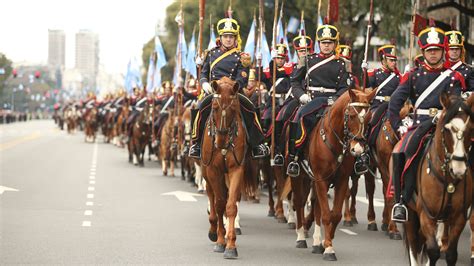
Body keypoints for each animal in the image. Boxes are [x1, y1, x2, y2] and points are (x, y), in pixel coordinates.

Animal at [201, 77, 256, 260]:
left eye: (233, 108)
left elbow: (230, 205)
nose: (221, 140)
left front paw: (231, 245)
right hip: (206, 171)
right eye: (215, 107)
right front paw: (219, 240)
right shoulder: (213, 170)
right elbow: (219, 204)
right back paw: (213, 230)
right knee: (211, 195)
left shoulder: (236, 170)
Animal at [402, 92, 472, 266]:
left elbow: (451, 254)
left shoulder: (458, 217)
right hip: (410, 214)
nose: (459, 169)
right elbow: (432, 251)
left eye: (470, 130)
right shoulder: (426, 215)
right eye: (447, 130)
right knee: (413, 245)